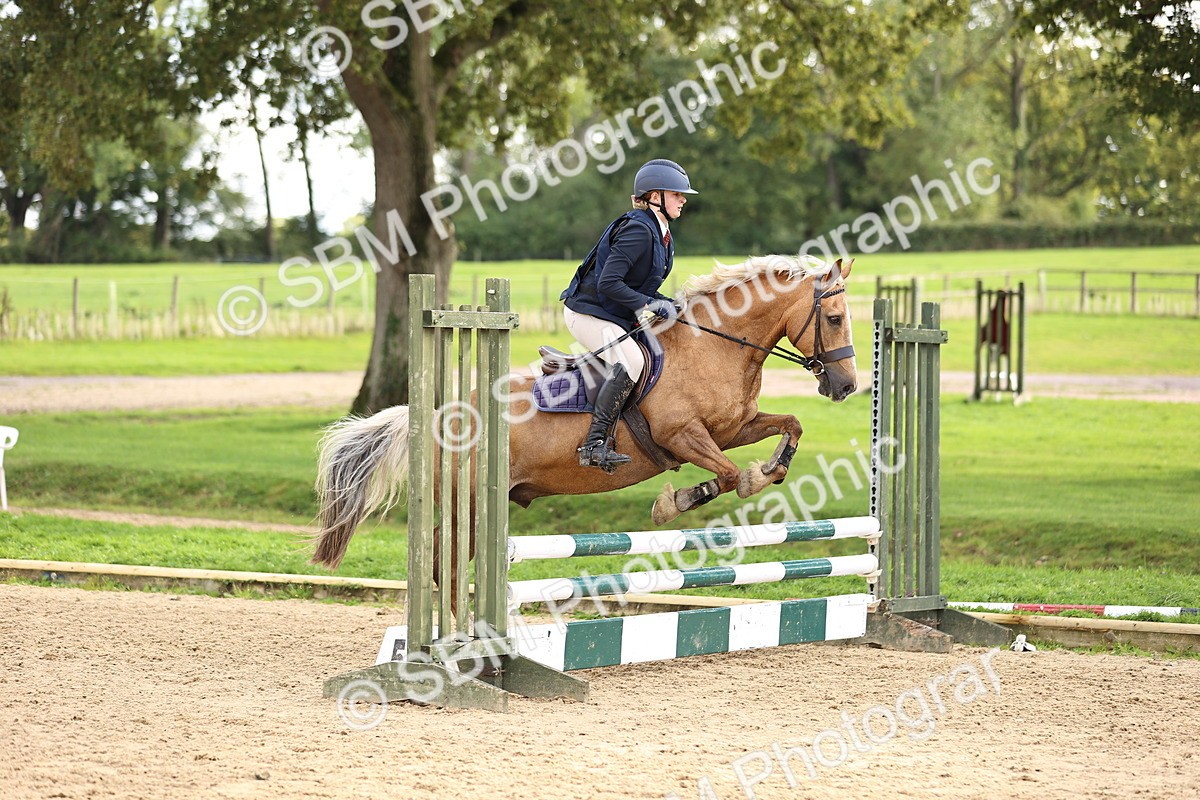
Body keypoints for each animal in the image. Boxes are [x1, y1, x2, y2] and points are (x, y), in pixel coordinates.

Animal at [311, 254, 857, 574]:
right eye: (834, 319)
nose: (848, 386)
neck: (715, 347)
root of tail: (436, 417)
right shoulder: (682, 435)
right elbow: (725, 477)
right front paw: (680, 501)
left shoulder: (733, 428)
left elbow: (790, 427)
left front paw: (770, 468)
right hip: (468, 506)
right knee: (441, 561)